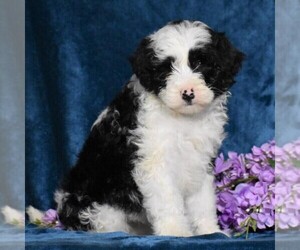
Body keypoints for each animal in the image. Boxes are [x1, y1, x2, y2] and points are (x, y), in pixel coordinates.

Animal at [55, 20, 244, 236]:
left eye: (200, 64)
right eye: (166, 70)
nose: (187, 93)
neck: (183, 119)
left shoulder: (200, 161)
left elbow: (202, 201)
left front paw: (209, 231)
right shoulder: (155, 163)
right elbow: (168, 201)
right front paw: (176, 232)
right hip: (99, 210)